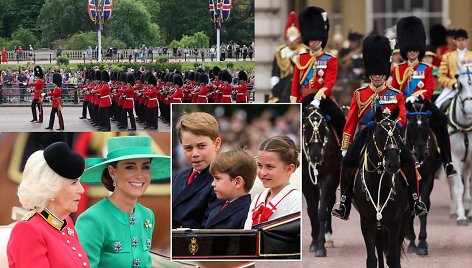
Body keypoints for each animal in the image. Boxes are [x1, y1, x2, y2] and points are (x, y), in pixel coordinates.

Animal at [302, 101, 342, 258]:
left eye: (324, 127)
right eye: (306, 127)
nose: (315, 157)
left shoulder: (328, 177)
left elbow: (322, 210)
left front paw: (320, 246)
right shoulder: (307, 181)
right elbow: (312, 210)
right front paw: (314, 243)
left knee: (329, 203)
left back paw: (327, 238)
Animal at [352, 107, 412, 268]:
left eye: (397, 133)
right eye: (380, 133)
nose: (393, 164)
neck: (378, 181)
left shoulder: (396, 222)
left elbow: (393, 258)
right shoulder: (367, 221)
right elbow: (372, 259)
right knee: (379, 249)